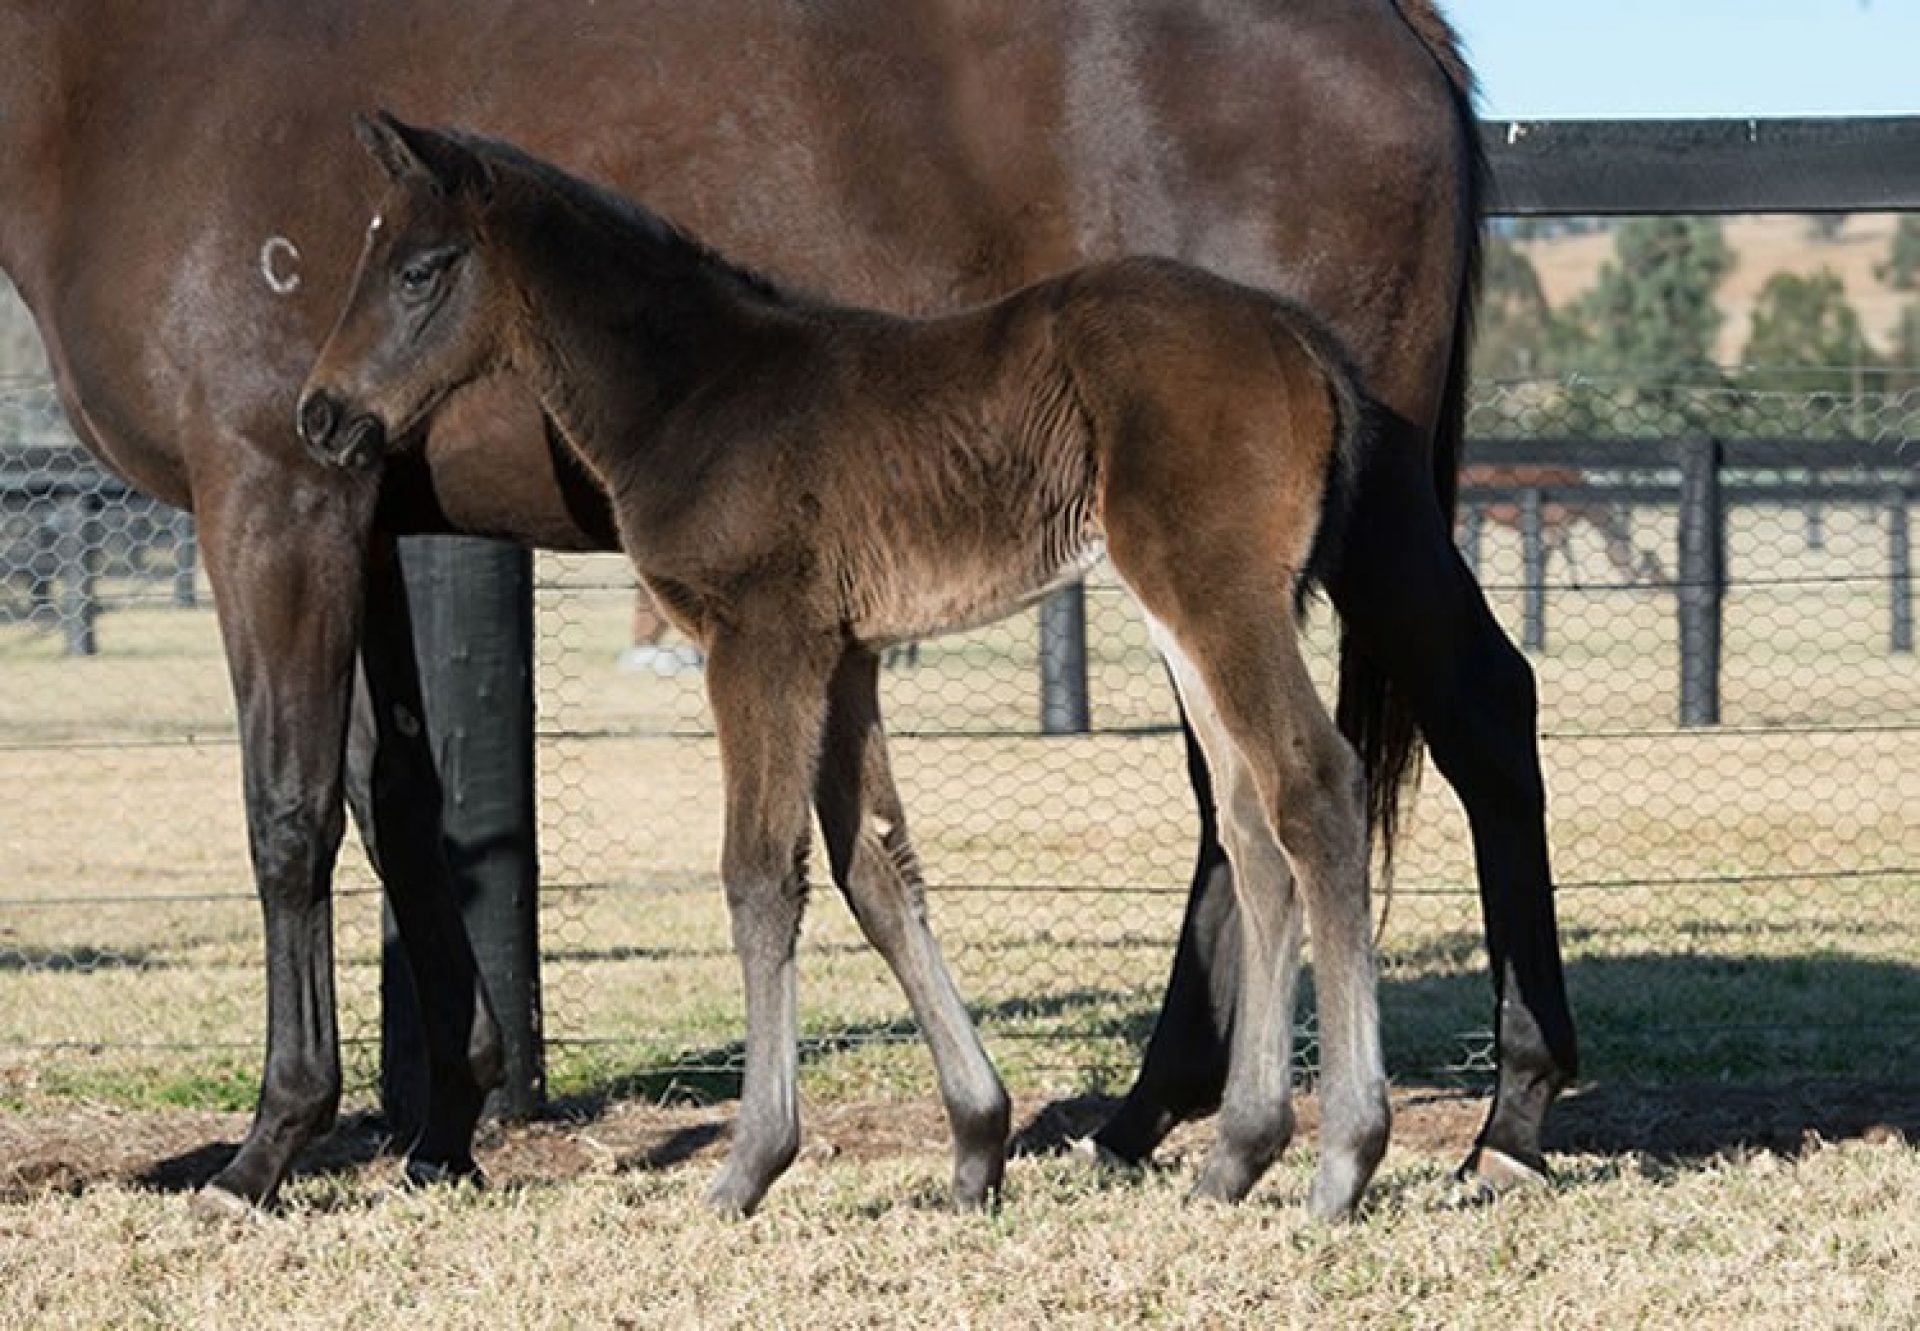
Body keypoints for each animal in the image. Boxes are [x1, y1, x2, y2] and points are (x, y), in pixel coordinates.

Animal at [299, 119, 1390, 1221]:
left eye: (420, 270)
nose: (320, 416)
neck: (692, 392)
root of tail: (1294, 333)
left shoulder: (758, 638)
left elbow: (759, 871)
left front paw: (749, 1162)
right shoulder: (846, 654)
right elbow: (878, 871)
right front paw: (976, 1145)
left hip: (1216, 590)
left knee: (1314, 785)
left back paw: (1345, 1153)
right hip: (1183, 608)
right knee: (1251, 826)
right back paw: (1236, 1154)